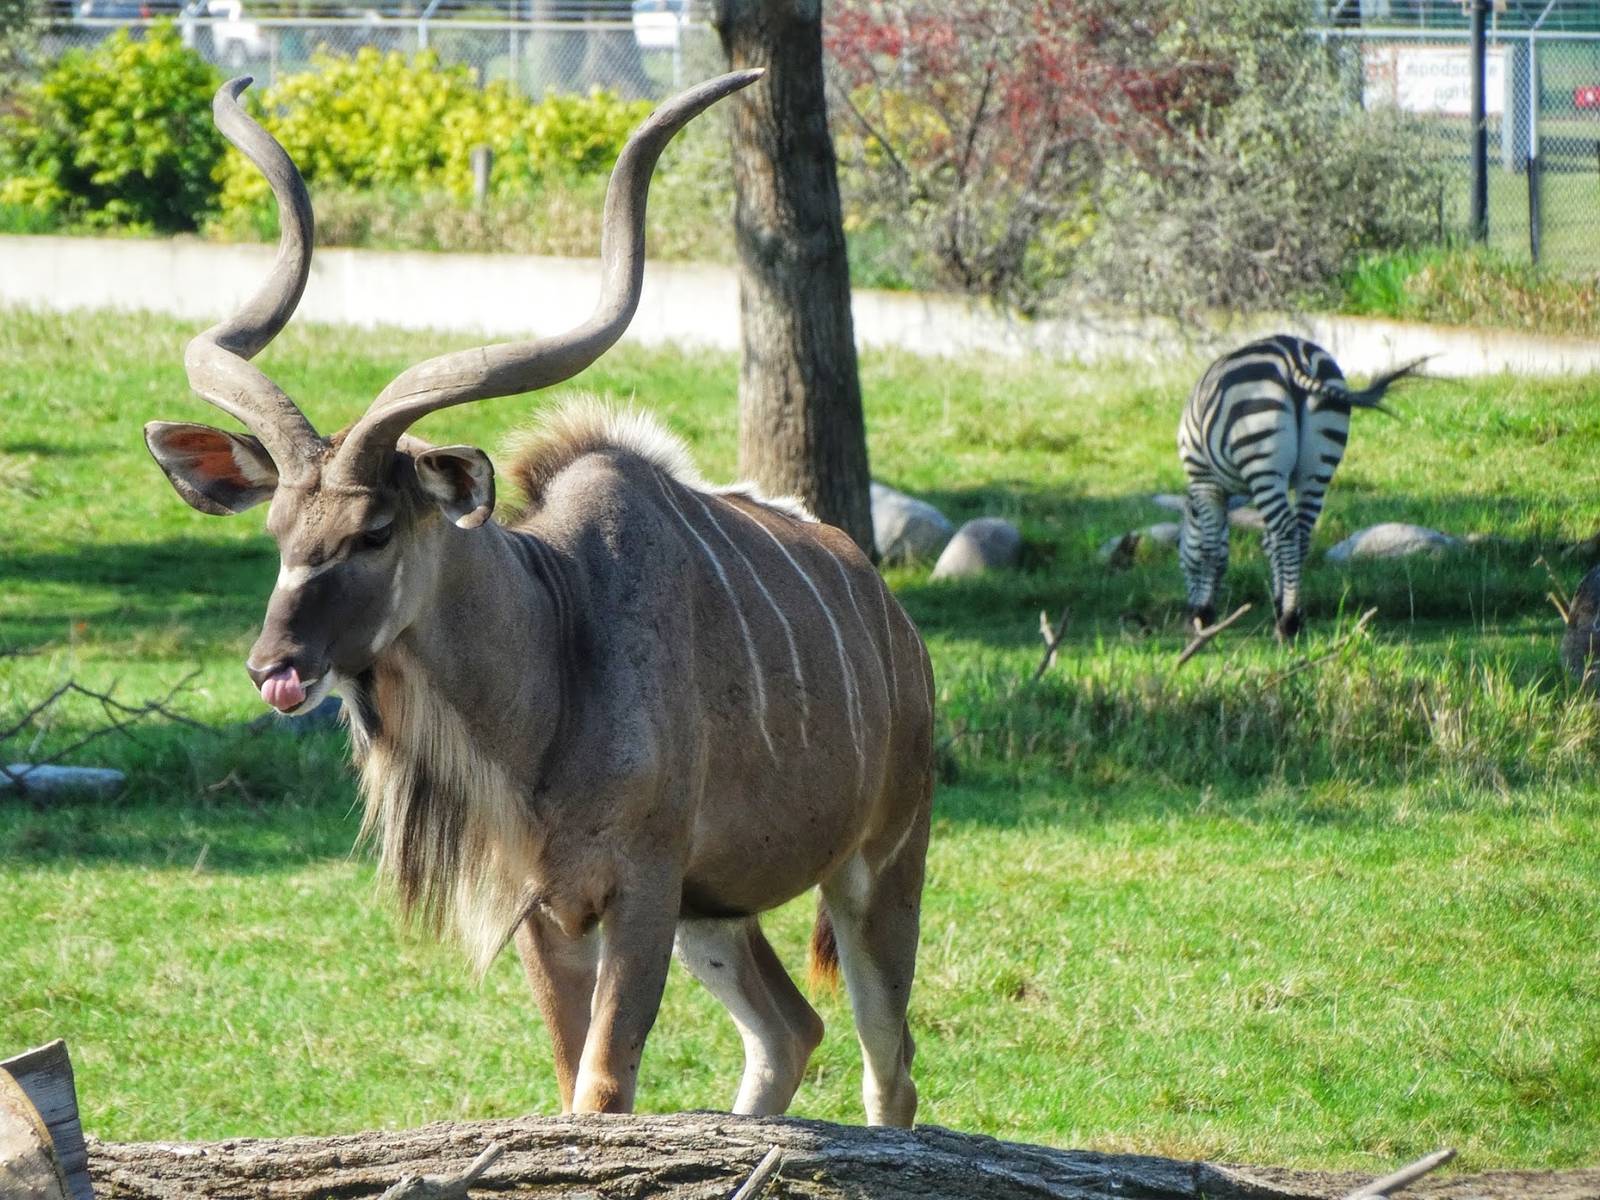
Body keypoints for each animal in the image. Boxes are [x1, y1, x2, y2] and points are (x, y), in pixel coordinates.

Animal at [1177, 335, 1422, 638]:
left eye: (1181, 557)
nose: (1188, 615)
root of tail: (1293, 357)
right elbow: (1268, 543)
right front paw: (1278, 601)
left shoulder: (1203, 479)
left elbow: (1210, 547)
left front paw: (1203, 615)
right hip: (1316, 466)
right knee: (1301, 532)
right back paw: (1292, 615)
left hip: (1261, 456)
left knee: (1287, 531)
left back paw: (1288, 622)